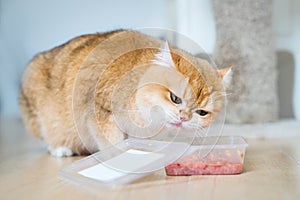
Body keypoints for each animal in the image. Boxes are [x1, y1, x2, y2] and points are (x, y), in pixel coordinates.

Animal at [18, 30, 232, 157]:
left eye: (201, 113)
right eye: (175, 98)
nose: (184, 118)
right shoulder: (100, 112)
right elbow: (113, 143)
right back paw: (60, 148)